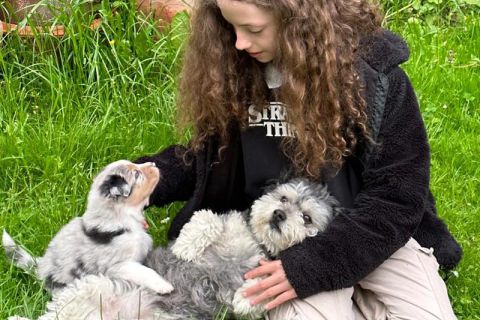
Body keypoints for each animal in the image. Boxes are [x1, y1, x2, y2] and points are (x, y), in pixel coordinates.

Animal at [5, 178, 340, 320]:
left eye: (307, 218)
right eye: (283, 198)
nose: (279, 215)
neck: (255, 241)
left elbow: (259, 294)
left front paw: (246, 297)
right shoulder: (225, 220)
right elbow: (206, 218)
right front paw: (187, 245)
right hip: (91, 288)